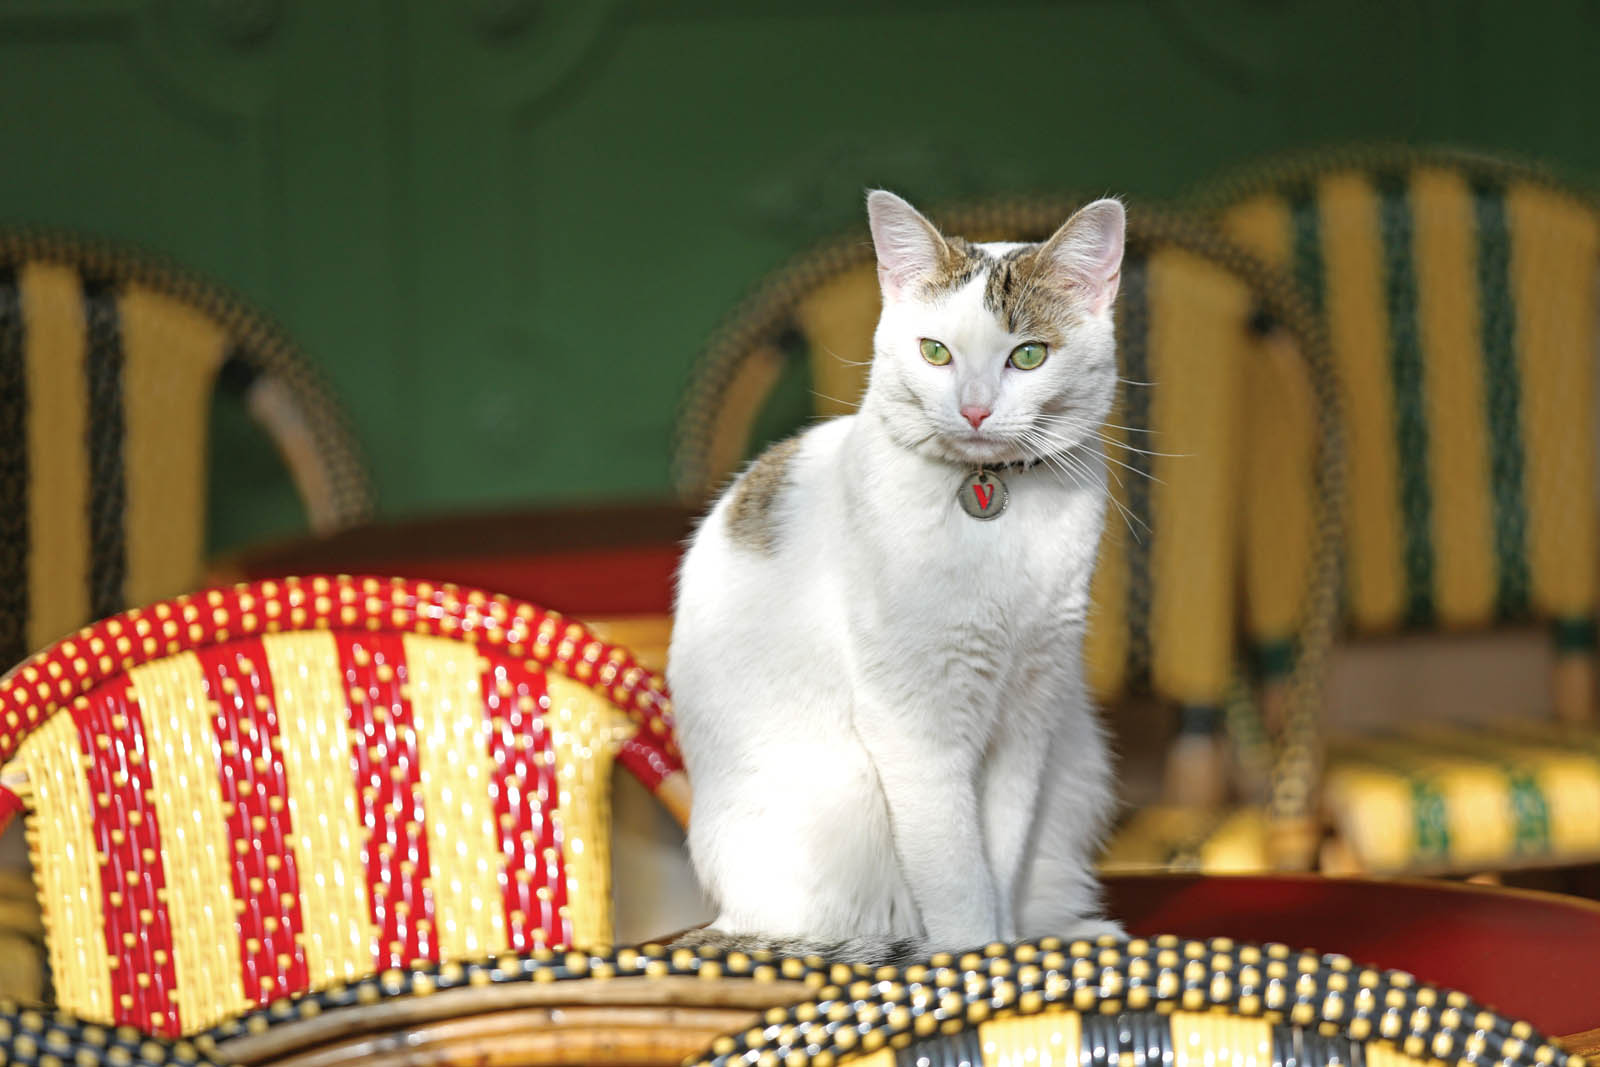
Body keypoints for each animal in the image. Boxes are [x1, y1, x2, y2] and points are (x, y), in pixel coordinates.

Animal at [662, 191, 1126, 966]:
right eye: (934, 351)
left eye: (1028, 354)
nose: (974, 408)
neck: (992, 507)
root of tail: (730, 915)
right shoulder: (917, 721)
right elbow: (958, 871)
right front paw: (973, 956)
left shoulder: (1028, 710)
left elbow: (997, 856)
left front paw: (1004, 950)